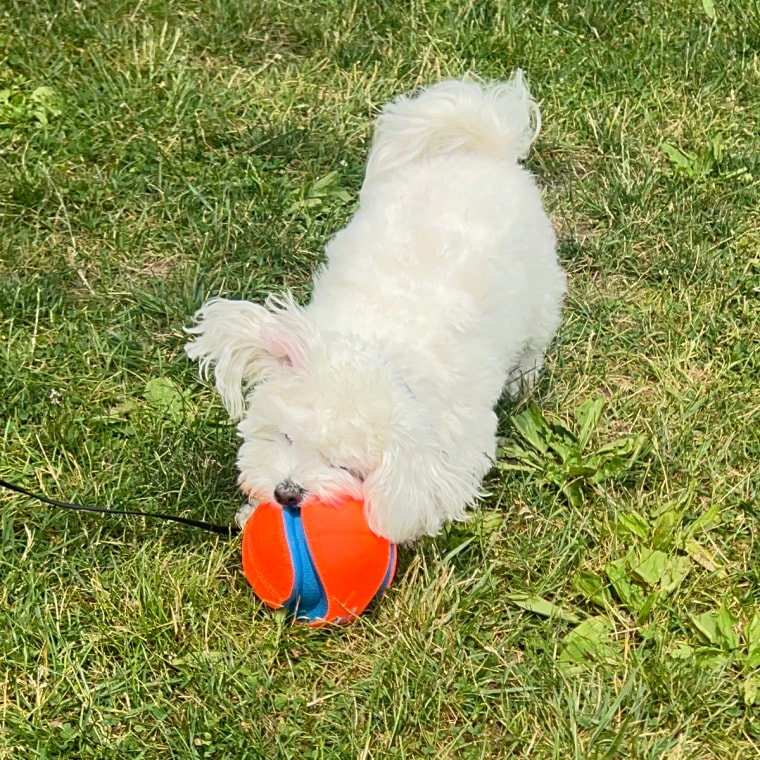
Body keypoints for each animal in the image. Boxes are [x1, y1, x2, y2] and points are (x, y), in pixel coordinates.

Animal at [184, 72, 564, 540]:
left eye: (344, 466)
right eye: (285, 436)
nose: (287, 493)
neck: (382, 348)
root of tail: (486, 152)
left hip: (542, 294)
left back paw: (522, 379)